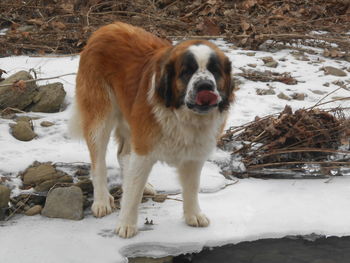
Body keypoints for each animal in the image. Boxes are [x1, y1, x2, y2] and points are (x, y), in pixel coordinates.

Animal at [69, 21, 234, 239]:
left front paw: (193, 215)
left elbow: (192, 187)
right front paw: (126, 225)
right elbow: (133, 193)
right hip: (100, 118)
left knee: (123, 154)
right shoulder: (144, 149)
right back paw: (102, 201)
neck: (181, 114)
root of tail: (107, 27)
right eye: (187, 72)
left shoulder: (194, 154)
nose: (205, 86)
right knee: (99, 163)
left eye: (215, 71)